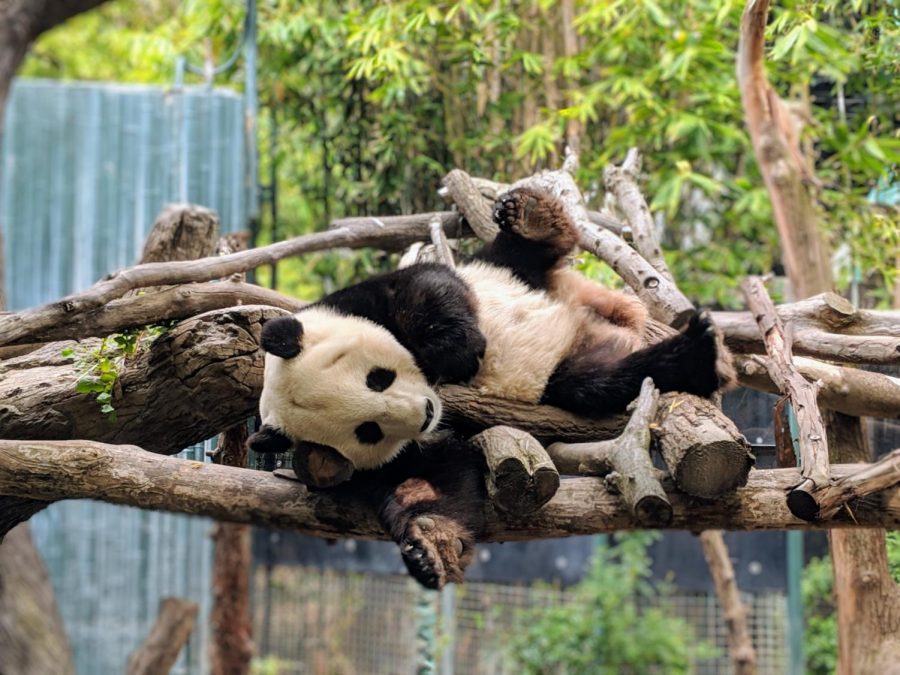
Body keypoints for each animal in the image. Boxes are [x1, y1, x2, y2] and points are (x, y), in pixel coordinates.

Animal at [246, 187, 732, 588]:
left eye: (377, 379)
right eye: (368, 430)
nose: (426, 413)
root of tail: (582, 313)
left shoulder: (363, 300)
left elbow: (426, 289)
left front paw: (457, 352)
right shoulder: (393, 459)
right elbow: (426, 485)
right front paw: (430, 549)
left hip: (507, 276)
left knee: (516, 255)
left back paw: (529, 216)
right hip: (574, 365)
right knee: (597, 380)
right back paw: (689, 358)